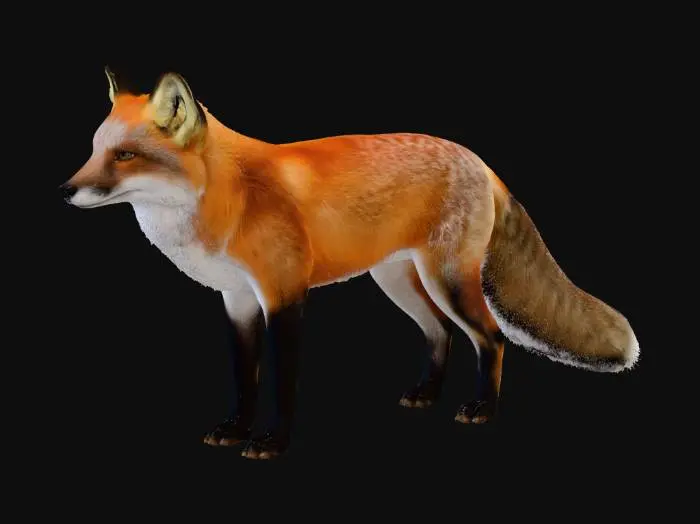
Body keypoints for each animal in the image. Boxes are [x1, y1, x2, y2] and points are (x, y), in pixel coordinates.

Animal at [62, 68, 639, 459]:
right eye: (93, 150)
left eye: (124, 156)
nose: (65, 190)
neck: (230, 198)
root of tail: (476, 158)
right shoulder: (237, 300)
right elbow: (245, 381)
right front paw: (235, 429)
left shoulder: (284, 297)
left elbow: (283, 384)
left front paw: (272, 442)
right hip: (399, 283)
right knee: (441, 334)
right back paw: (427, 395)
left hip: (449, 282)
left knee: (492, 338)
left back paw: (483, 410)